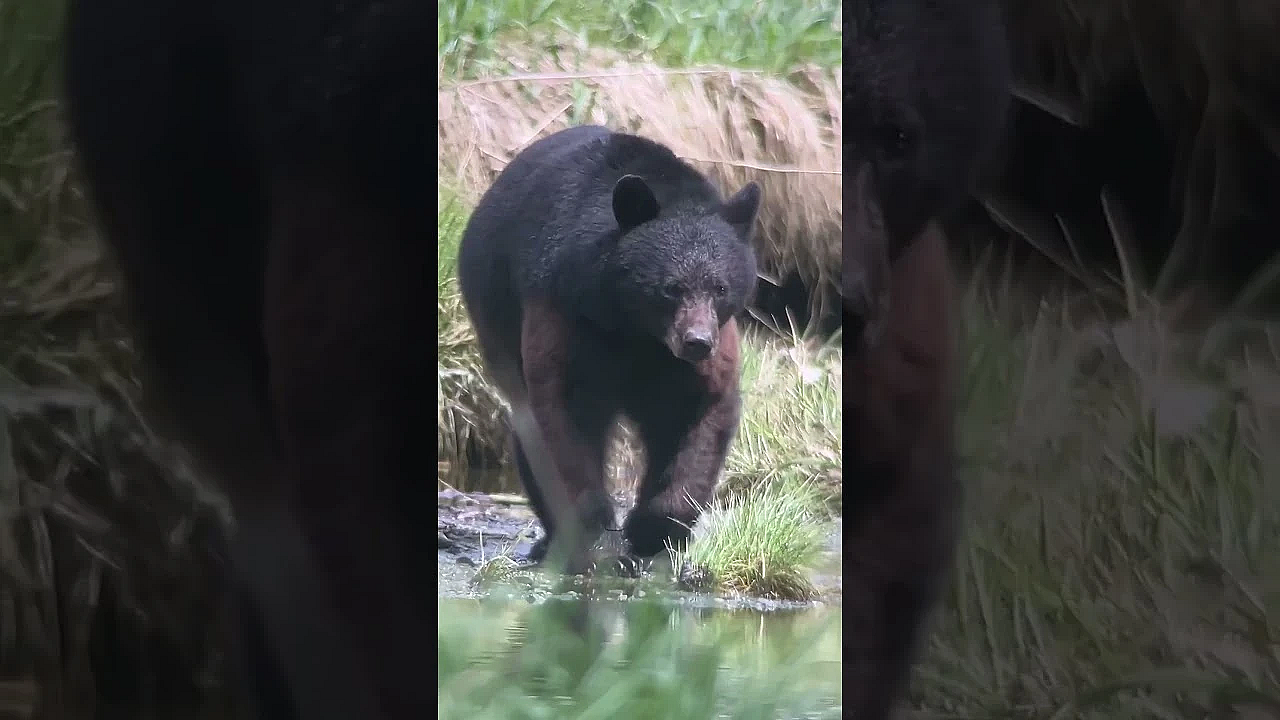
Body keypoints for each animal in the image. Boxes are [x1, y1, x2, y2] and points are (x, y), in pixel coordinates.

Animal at [456, 125, 762, 573]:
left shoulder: (695, 362)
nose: (696, 342)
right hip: (496, 318)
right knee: (527, 429)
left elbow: (703, 415)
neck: (634, 330)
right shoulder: (566, 316)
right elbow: (564, 416)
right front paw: (598, 535)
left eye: (720, 287)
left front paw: (653, 530)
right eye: (671, 287)